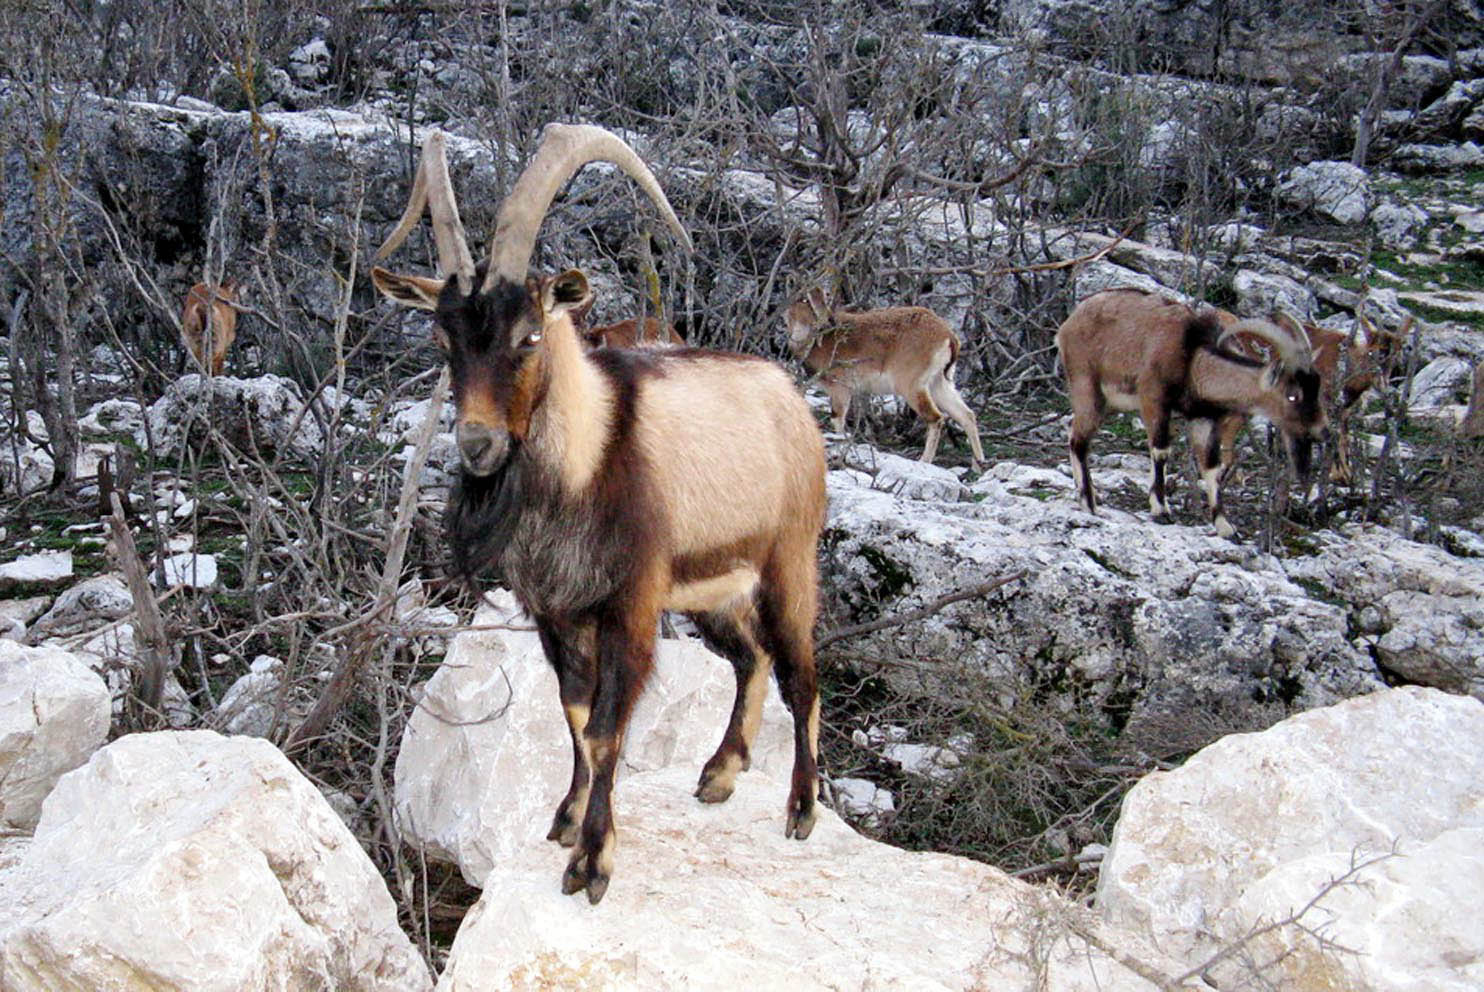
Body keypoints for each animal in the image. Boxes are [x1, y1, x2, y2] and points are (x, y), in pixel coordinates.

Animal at [371, 124, 831, 908]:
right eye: (442, 336)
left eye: (529, 335)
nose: (478, 443)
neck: (588, 460)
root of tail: (791, 399)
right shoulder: (557, 613)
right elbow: (577, 718)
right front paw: (566, 817)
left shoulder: (630, 607)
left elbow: (611, 730)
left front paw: (593, 863)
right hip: (712, 589)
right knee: (752, 656)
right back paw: (720, 774)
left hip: (788, 563)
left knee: (801, 670)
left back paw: (800, 809)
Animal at [1062, 286, 1329, 537]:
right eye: (1293, 394)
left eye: (1317, 387)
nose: (1322, 430)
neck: (1193, 360)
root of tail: (1069, 323)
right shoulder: (1154, 399)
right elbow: (1161, 450)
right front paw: (1160, 509)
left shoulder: (1203, 418)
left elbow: (1211, 466)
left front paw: (1225, 526)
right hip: (1087, 386)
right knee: (1079, 441)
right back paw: (1088, 502)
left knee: (1076, 435)